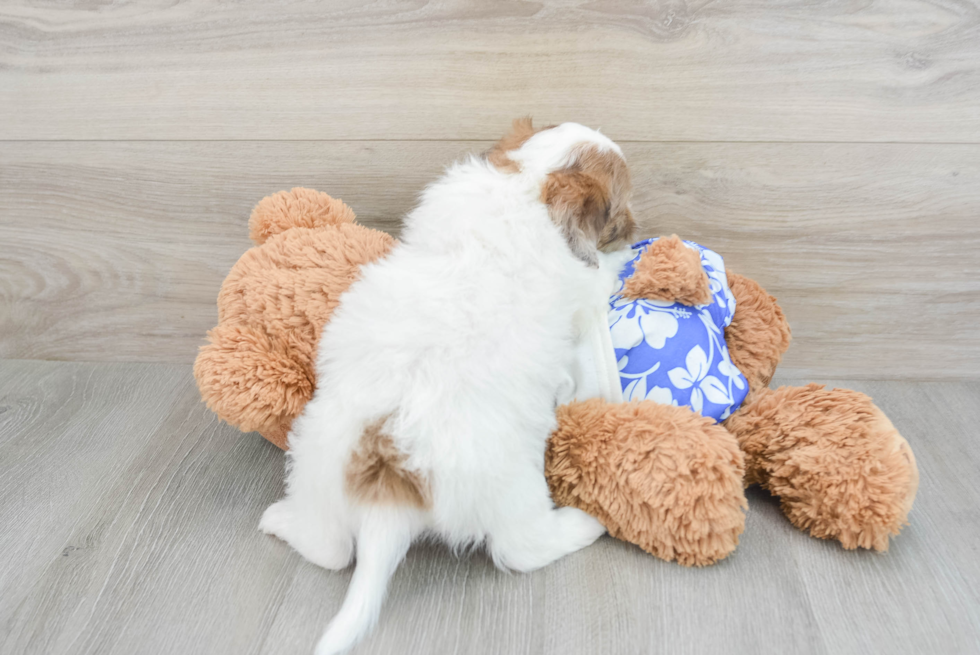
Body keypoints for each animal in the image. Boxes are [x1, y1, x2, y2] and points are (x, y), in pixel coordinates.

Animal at [262, 119, 636, 655]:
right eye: (621, 205)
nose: (637, 228)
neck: (528, 183)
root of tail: (392, 486)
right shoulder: (584, 283)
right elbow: (600, 277)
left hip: (314, 456)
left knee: (329, 549)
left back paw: (281, 521)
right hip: (515, 489)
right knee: (522, 548)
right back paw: (586, 523)